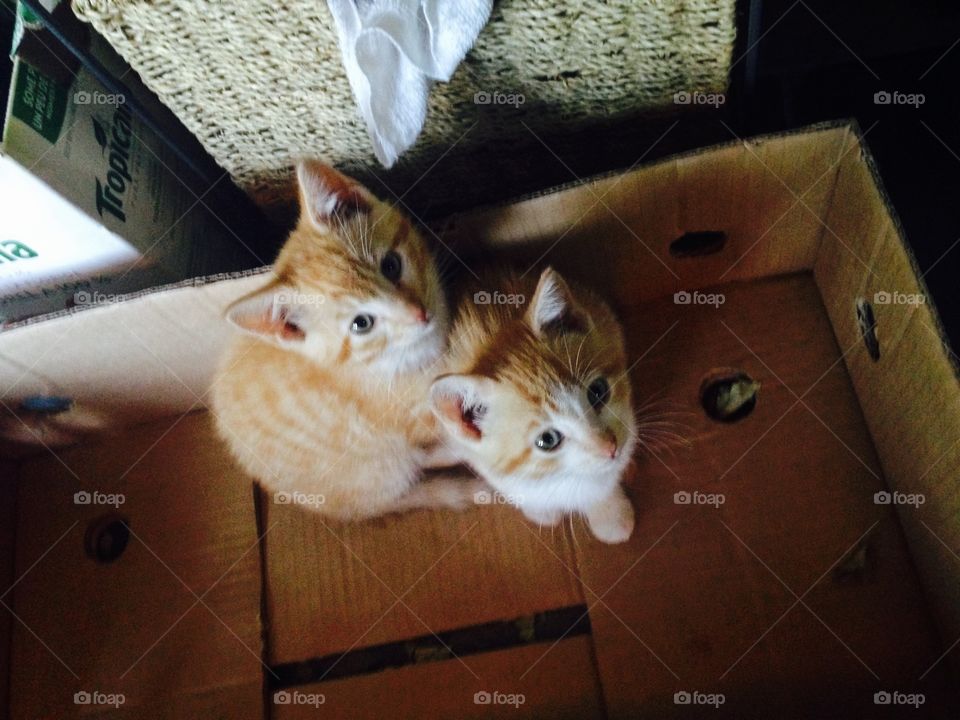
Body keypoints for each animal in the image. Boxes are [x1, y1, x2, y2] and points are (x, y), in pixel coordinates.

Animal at [211, 160, 480, 520]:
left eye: (391, 265)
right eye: (361, 324)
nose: (419, 314)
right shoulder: (407, 415)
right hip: (370, 471)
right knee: (405, 477)